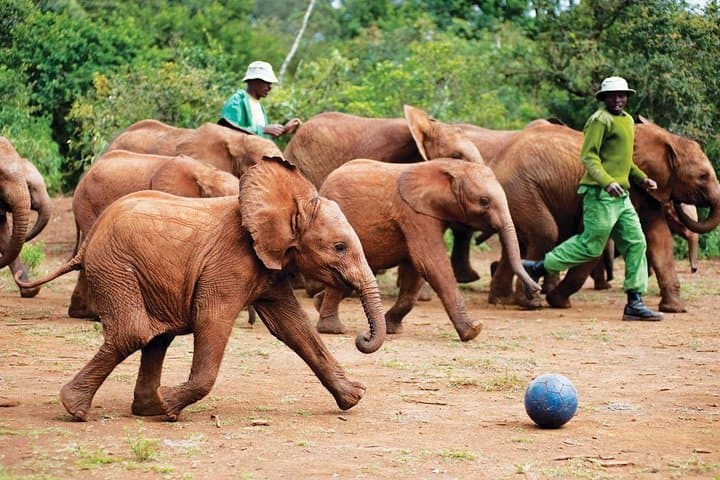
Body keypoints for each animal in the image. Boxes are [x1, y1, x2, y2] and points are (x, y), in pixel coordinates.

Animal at [314, 159, 540, 341]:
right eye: (484, 201)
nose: (535, 290)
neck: (450, 167)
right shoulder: (415, 215)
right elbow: (430, 262)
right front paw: (473, 331)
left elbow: (414, 270)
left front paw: (392, 329)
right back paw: (332, 329)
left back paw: (318, 304)